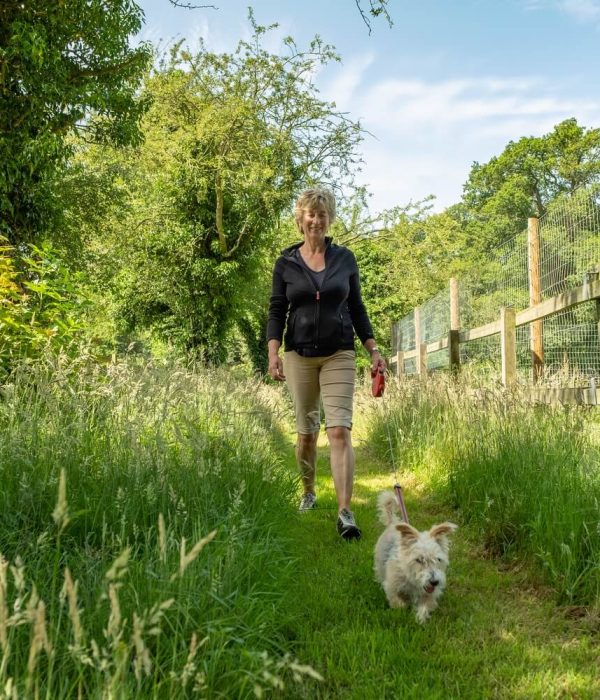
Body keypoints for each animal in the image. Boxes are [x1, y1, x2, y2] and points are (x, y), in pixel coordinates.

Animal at [372, 490, 458, 628]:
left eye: (438, 560)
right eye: (419, 560)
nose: (434, 582)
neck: (412, 579)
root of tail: (393, 523)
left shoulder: (429, 595)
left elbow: (425, 607)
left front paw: (419, 620)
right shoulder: (391, 586)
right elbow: (397, 602)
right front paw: (402, 611)